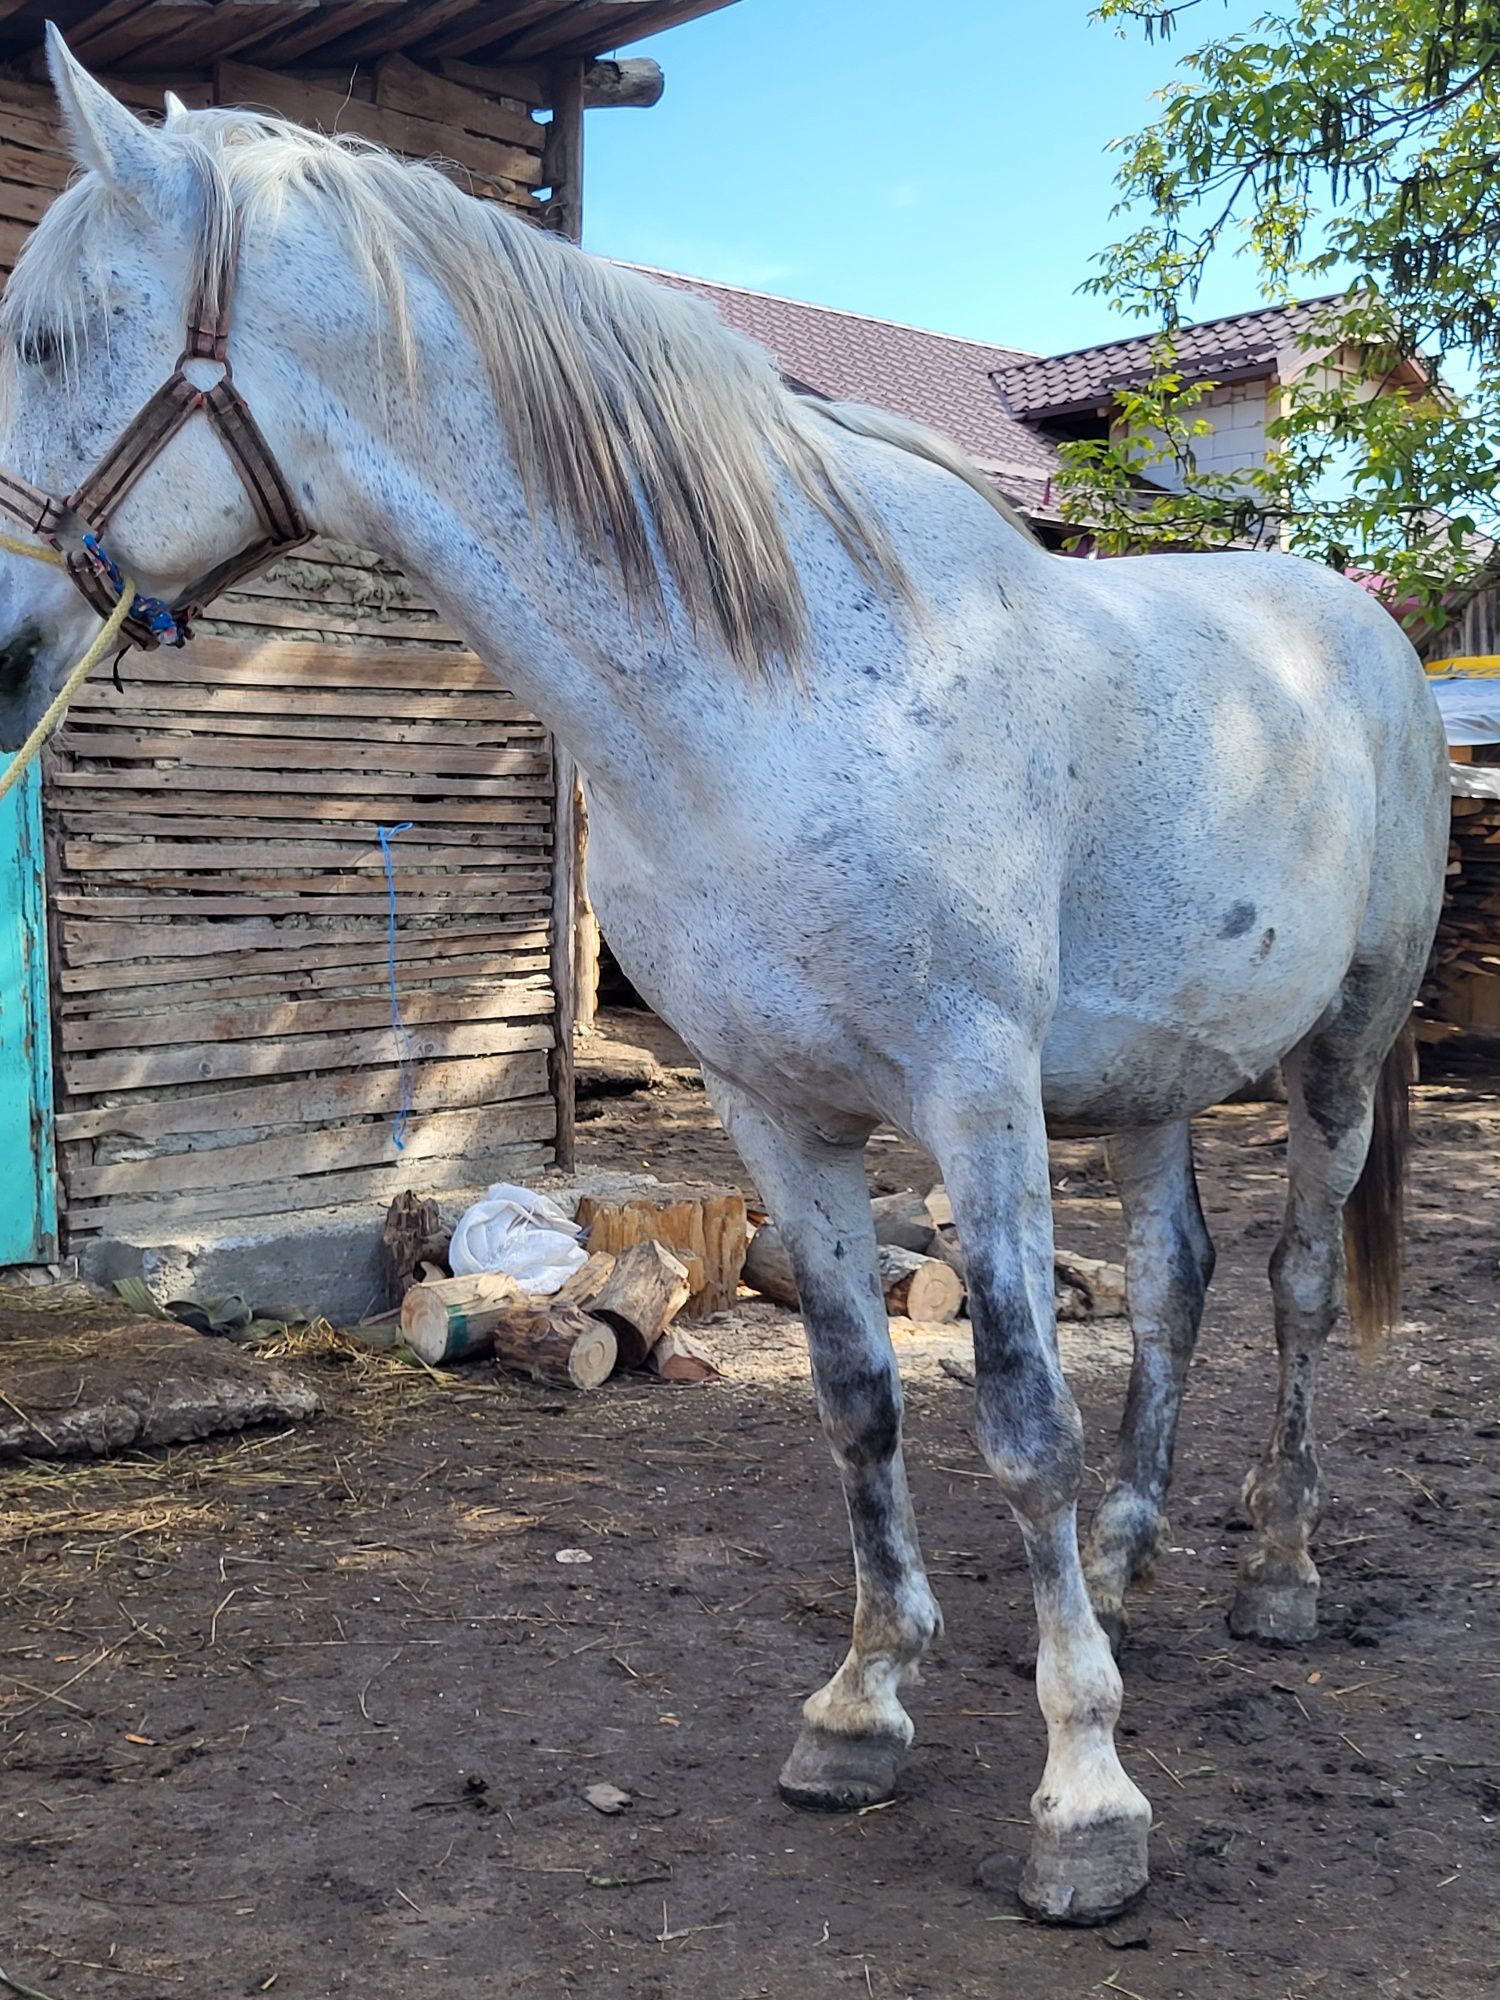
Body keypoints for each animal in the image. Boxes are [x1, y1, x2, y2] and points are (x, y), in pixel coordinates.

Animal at [2, 43, 1456, 1920]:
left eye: (46, 338)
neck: (778, 689)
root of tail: (1363, 630)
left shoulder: (972, 1097)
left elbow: (1019, 1422)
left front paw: (1086, 1798)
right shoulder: (778, 1110)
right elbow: (855, 1398)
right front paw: (864, 1704)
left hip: (1340, 1051)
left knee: (1286, 1293)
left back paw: (1276, 1569)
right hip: (1148, 1083)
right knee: (1175, 1285)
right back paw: (1131, 1566)